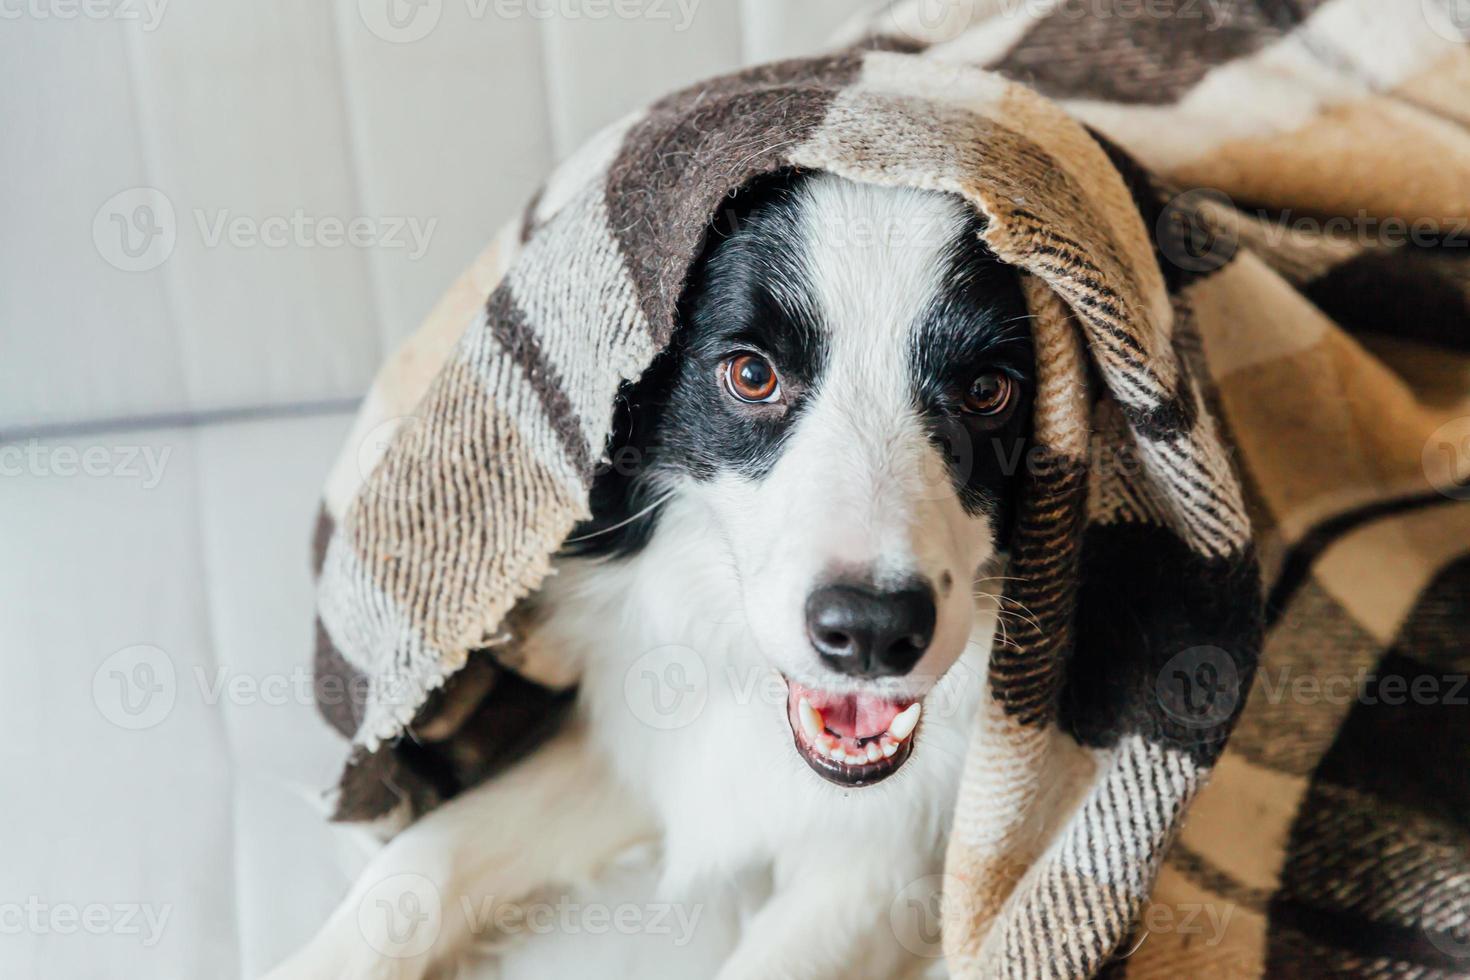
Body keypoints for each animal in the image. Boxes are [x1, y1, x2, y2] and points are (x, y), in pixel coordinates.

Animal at [267, 172, 1034, 980]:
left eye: (988, 391)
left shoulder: (889, 860)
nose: (872, 630)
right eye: (751, 374)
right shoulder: (640, 741)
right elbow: (423, 855)